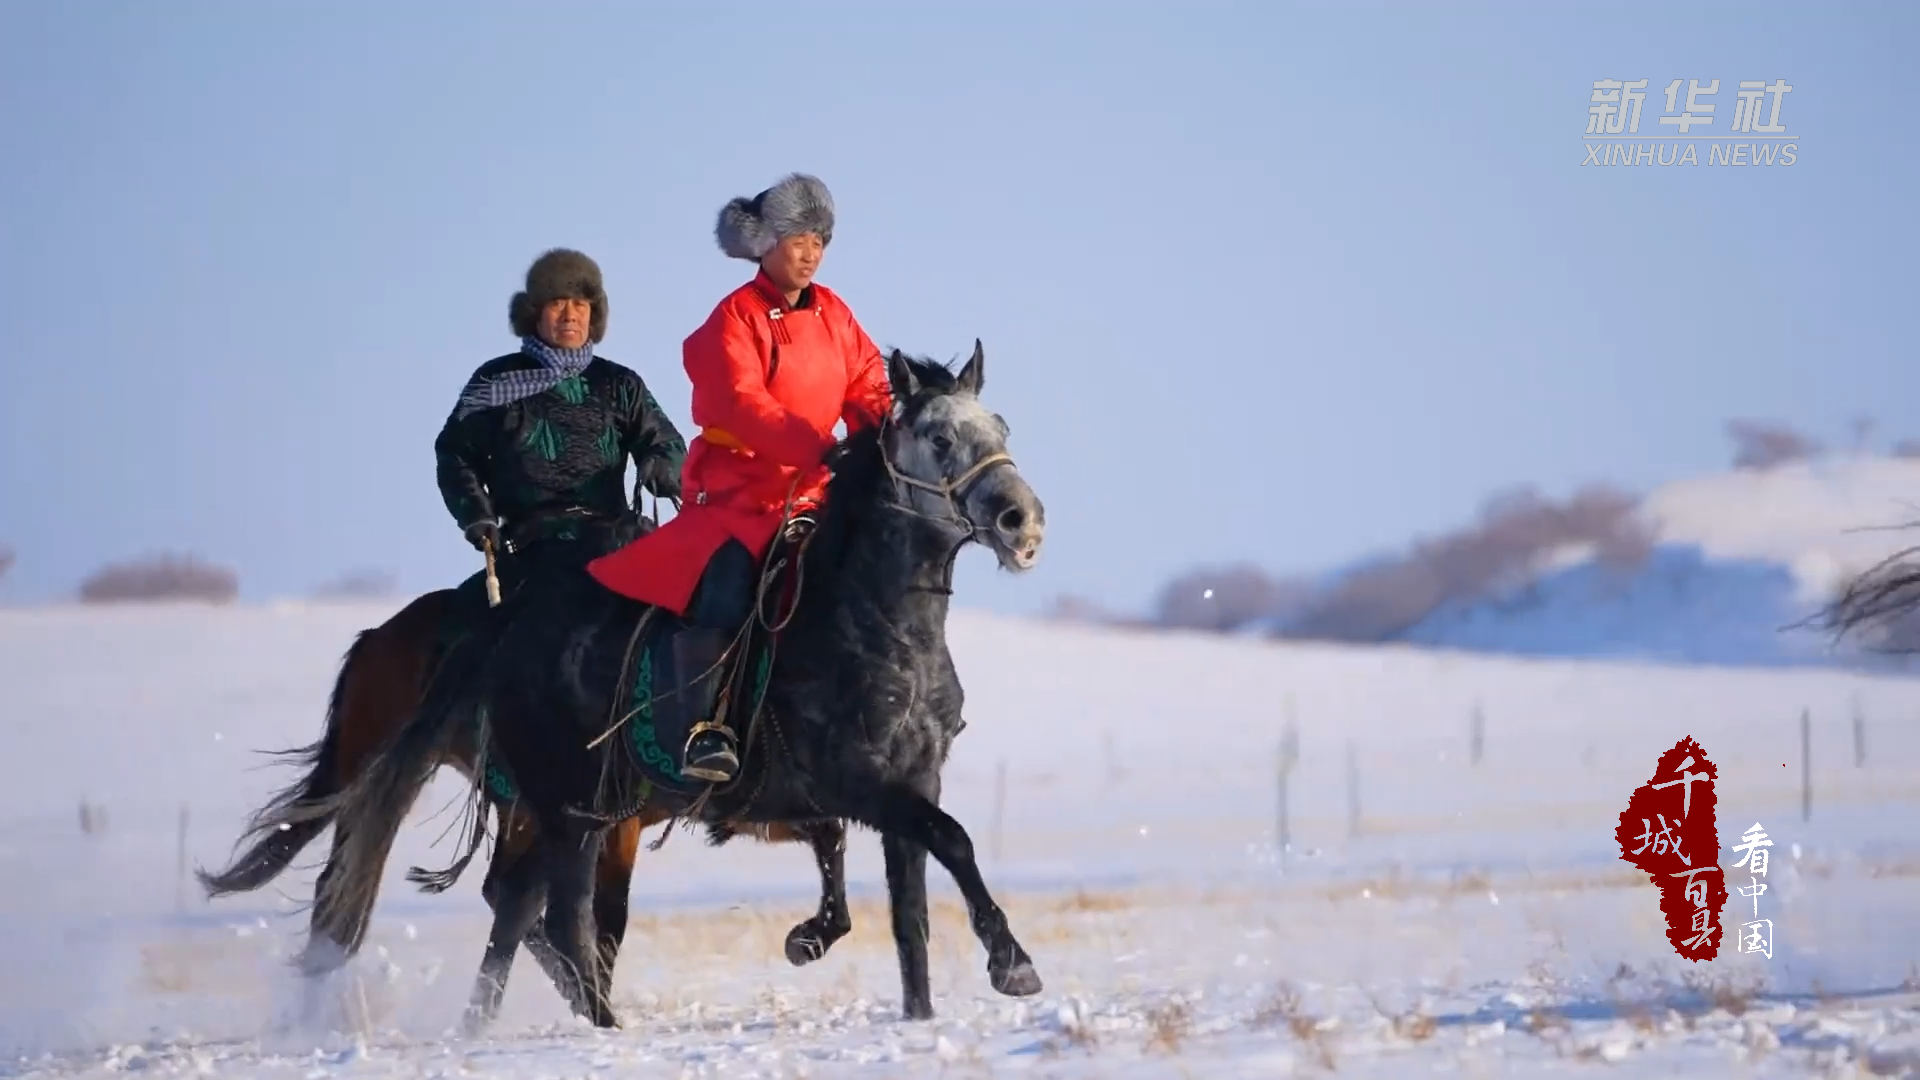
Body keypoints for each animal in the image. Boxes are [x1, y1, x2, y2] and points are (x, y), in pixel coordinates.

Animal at [301, 342, 1052, 1022]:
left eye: (1002, 428)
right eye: (940, 436)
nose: (1023, 520)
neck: (867, 620)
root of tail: (505, 627)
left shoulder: (907, 782)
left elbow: (910, 918)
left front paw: (908, 1002)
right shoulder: (858, 783)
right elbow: (951, 840)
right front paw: (1012, 963)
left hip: (574, 810)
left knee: (518, 906)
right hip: (568, 808)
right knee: (555, 919)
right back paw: (596, 1027)